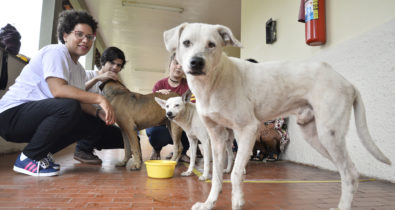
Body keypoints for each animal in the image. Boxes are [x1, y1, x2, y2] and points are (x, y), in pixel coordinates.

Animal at [164, 23, 392, 210]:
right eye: (186, 43)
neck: (213, 82)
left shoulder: (247, 130)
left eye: (211, 44)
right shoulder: (217, 137)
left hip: (330, 134)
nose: (196, 62)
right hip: (316, 137)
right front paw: (209, 202)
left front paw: (237, 201)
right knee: (347, 172)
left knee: (350, 174)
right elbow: (218, 175)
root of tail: (346, 82)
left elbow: (236, 172)